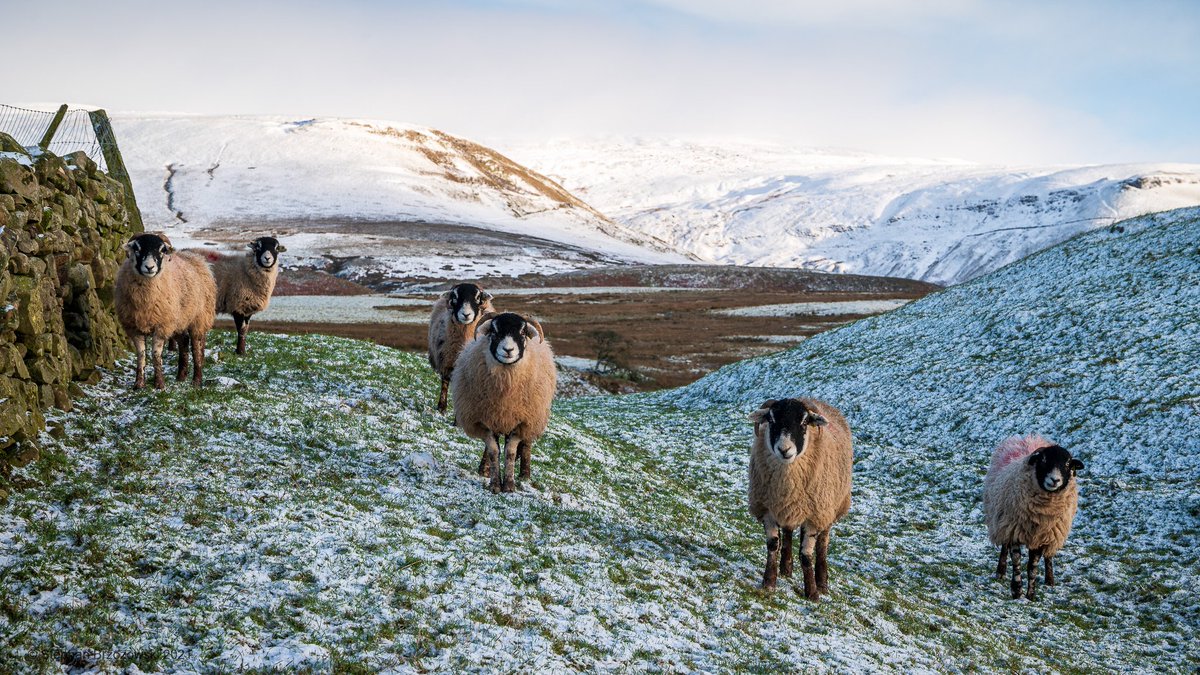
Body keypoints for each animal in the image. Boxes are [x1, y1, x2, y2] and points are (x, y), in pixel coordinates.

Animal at [114, 233, 216, 389]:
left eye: (162, 250)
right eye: (137, 249)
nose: (149, 267)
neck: (146, 299)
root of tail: (196, 257)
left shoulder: (161, 326)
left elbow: (156, 354)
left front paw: (159, 384)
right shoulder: (134, 328)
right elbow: (141, 354)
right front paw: (139, 384)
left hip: (199, 319)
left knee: (197, 348)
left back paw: (196, 380)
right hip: (178, 321)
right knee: (184, 342)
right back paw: (181, 376)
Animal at [427, 282, 494, 413]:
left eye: (477, 297)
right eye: (455, 297)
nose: (466, 314)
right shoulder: (447, 359)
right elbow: (445, 383)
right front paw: (441, 407)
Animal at [451, 312, 556, 493]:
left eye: (522, 332)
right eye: (494, 331)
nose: (508, 350)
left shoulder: (521, 422)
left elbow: (510, 453)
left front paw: (509, 485)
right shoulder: (484, 420)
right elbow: (494, 451)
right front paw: (494, 484)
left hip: (533, 416)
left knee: (526, 444)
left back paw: (525, 474)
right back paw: (484, 469)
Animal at [747, 397, 853, 599]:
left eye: (804, 422)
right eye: (771, 420)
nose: (784, 449)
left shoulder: (814, 515)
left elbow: (806, 555)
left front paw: (812, 592)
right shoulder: (768, 508)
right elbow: (773, 545)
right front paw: (769, 583)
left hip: (829, 509)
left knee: (822, 544)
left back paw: (822, 582)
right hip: (790, 508)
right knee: (788, 533)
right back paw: (786, 568)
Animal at [983, 434, 1084, 600]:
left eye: (1068, 464)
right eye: (1043, 460)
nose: (1055, 480)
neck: (1042, 512)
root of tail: (1029, 438)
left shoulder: (1042, 536)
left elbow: (1033, 566)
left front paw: (1030, 595)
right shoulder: (1013, 529)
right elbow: (1016, 561)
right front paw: (1017, 591)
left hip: (1053, 533)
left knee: (1049, 556)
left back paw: (1050, 580)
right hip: (1002, 519)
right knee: (1004, 546)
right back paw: (1001, 572)